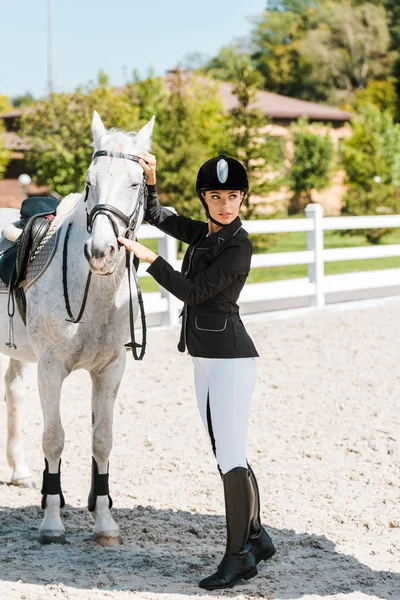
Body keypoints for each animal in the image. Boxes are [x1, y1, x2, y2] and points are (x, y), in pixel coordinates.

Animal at [0, 111, 154, 544]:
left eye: (136, 183)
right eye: (89, 183)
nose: (100, 252)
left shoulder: (110, 371)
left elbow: (102, 441)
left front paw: (104, 522)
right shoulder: (51, 369)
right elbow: (54, 439)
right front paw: (52, 522)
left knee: (13, 393)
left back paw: (19, 472)